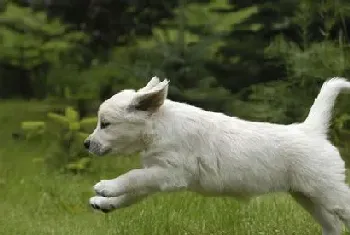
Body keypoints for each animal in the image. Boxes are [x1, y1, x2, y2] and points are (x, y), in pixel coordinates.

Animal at [85, 76, 350, 234]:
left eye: (105, 124)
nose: (86, 144)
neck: (159, 126)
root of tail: (311, 130)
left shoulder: (170, 174)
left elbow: (132, 177)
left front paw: (106, 187)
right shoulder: (157, 173)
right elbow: (133, 191)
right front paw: (105, 203)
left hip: (328, 191)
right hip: (307, 196)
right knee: (333, 225)